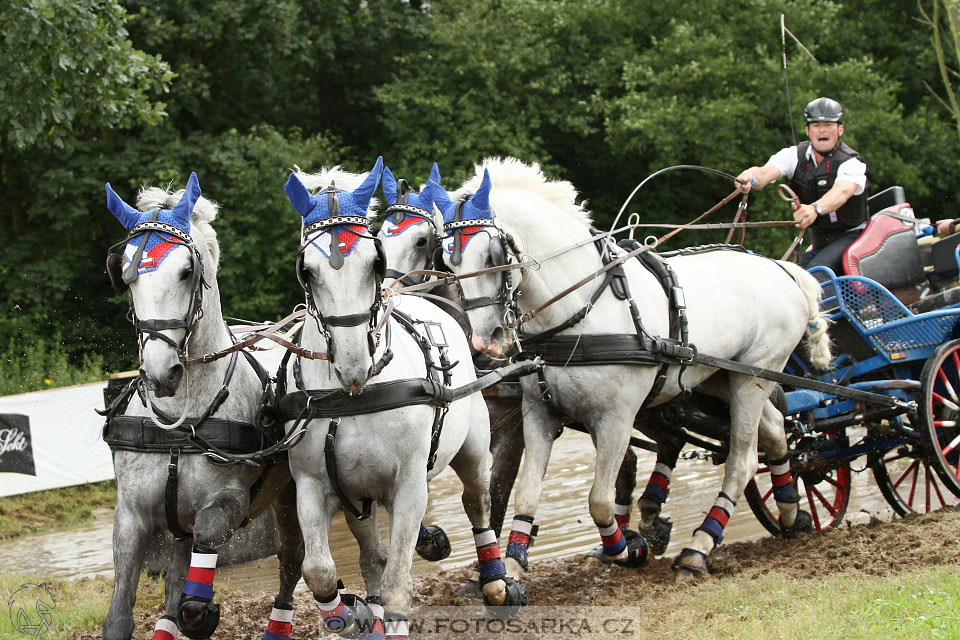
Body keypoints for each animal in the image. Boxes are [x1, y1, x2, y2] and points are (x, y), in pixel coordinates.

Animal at [103, 172, 302, 636]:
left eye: (187, 271)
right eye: (126, 274)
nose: (160, 372)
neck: (180, 421)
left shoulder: (227, 504)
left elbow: (194, 598)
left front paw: (204, 612)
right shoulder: (131, 516)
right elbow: (119, 616)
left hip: (291, 494)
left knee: (292, 561)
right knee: (177, 573)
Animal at [280, 158, 516, 636]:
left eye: (375, 262)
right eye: (307, 270)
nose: (352, 361)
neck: (354, 396)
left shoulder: (408, 488)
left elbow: (396, 588)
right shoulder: (316, 486)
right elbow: (320, 571)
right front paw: (349, 615)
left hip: (472, 449)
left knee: (477, 502)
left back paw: (495, 581)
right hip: (358, 496)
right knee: (371, 555)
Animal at [424, 158, 828, 584]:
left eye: (492, 253)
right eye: (447, 261)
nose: (485, 340)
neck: (581, 310)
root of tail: (779, 267)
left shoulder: (616, 419)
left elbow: (599, 500)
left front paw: (624, 549)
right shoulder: (539, 414)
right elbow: (528, 492)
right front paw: (514, 567)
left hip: (755, 376)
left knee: (743, 461)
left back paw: (698, 548)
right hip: (726, 378)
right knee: (776, 430)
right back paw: (790, 511)